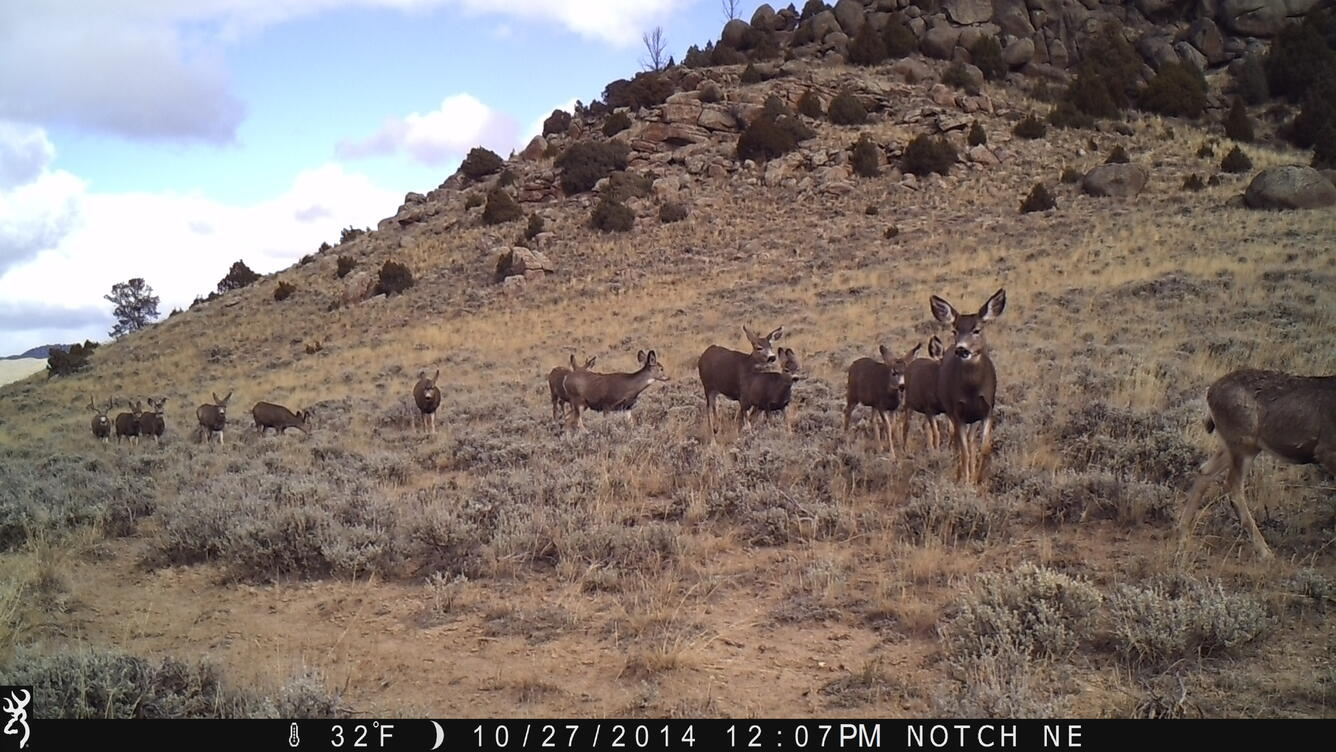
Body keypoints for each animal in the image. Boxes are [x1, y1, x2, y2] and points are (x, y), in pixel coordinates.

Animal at [931, 288, 1006, 485]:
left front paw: (978, 479)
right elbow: (963, 450)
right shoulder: (957, 413)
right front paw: (965, 481)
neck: (972, 390)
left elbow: (984, 448)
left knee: (971, 443)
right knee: (957, 443)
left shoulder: (987, 409)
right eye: (954, 330)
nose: (961, 349)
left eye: (977, 330)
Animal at [1178, 369, 1336, 560]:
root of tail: (1211, 392)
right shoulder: (1327, 451)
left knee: (1205, 471)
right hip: (1244, 444)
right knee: (1233, 487)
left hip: (1233, 445)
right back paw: (1265, 552)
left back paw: (1183, 535)